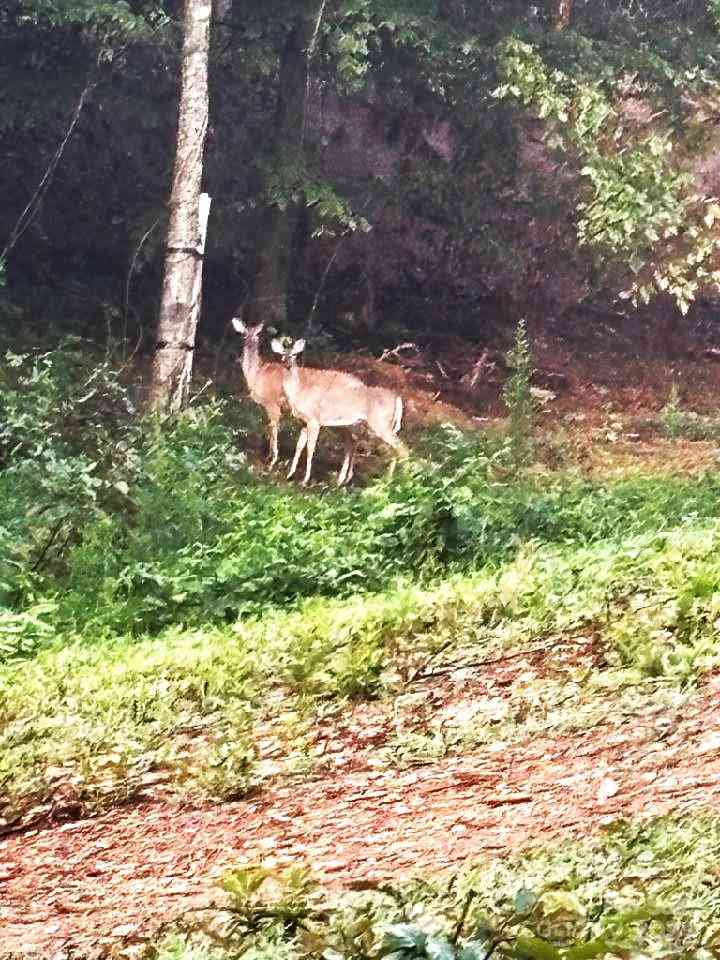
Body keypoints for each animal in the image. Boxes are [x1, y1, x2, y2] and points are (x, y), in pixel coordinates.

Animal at [231, 316, 286, 466]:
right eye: (244, 334)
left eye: (257, 334)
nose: (251, 342)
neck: (256, 374)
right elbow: (269, 425)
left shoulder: (272, 402)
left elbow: (273, 426)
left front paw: (272, 458)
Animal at [272, 338, 408, 488]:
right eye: (282, 354)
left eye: (295, 354)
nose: (287, 362)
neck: (299, 391)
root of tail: (397, 398)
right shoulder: (304, 422)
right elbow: (299, 446)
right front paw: (290, 474)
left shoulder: (314, 420)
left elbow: (310, 449)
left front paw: (305, 480)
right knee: (387, 449)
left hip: (380, 423)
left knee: (402, 449)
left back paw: (400, 480)